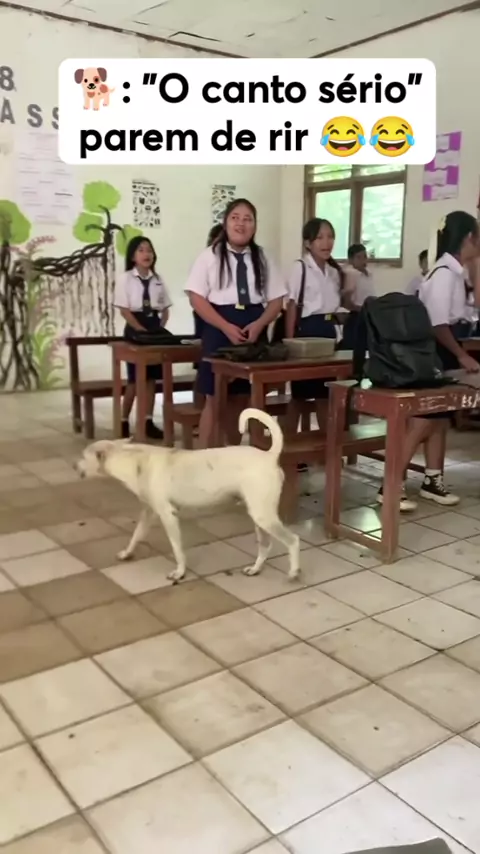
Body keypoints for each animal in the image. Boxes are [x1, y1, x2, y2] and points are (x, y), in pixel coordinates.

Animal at [75, 408, 300, 583]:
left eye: (83, 457)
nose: (74, 466)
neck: (134, 461)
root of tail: (269, 456)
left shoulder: (168, 515)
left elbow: (177, 548)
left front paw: (180, 572)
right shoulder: (148, 512)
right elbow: (136, 535)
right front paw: (127, 553)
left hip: (263, 516)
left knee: (293, 540)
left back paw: (293, 572)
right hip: (258, 516)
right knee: (266, 545)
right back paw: (255, 569)